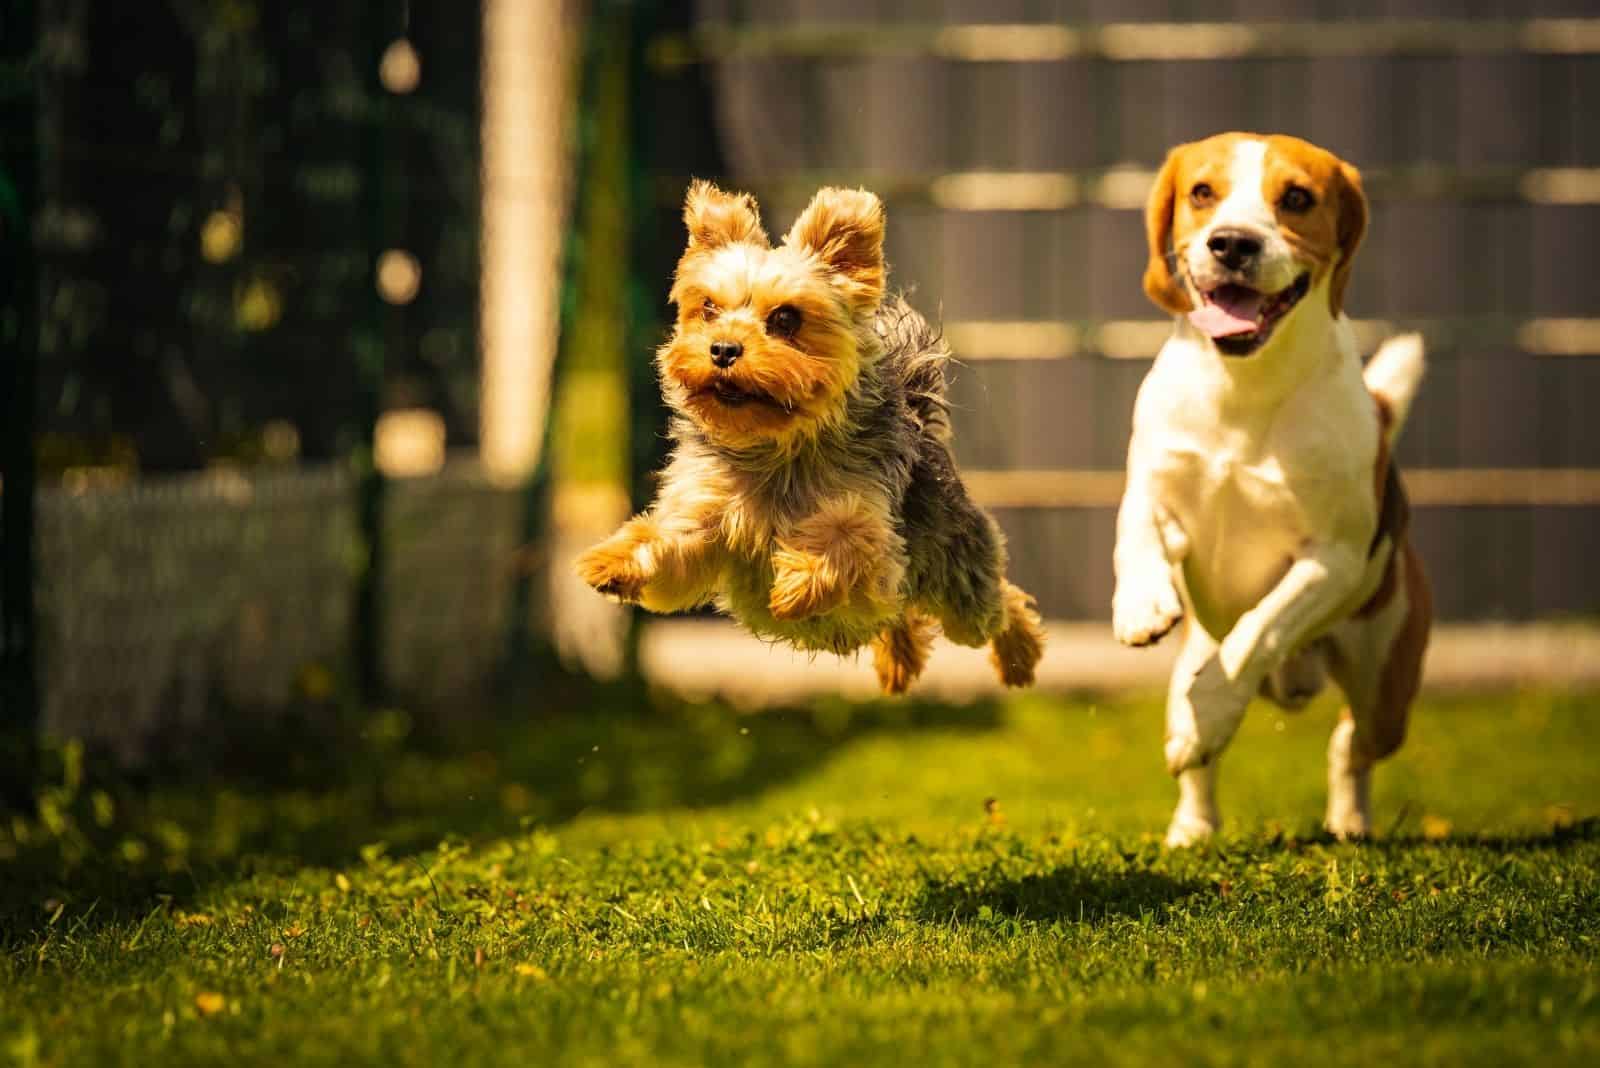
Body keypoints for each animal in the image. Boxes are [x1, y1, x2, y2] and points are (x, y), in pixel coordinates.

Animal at [579, 179, 1049, 697]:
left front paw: (797, 583)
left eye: (786, 319)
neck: (776, 447)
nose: (722, 348)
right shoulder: (705, 516)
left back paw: (1019, 658)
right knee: (901, 617)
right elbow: (670, 545)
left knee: (997, 603)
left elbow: (844, 538)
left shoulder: (874, 539)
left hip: (957, 579)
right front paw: (614, 560)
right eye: (708, 308)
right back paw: (898, 664)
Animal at [1113, 133, 1440, 844]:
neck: (1246, 386)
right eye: (1201, 192)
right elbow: (1136, 534)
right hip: (1193, 658)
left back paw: (1347, 819)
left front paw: (1212, 708)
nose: (1232, 244)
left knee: (1350, 744)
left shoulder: (1333, 560)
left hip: (1385, 684)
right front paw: (1142, 605)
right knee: (1197, 758)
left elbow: (1259, 629)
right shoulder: (1155, 489)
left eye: (1296, 198)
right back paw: (1193, 825)